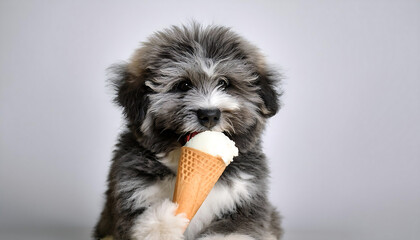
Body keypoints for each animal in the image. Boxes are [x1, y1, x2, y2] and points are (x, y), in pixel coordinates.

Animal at [94, 23, 284, 240]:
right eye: (183, 85)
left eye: (224, 83)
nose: (209, 115)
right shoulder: (131, 192)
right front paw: (166, 221)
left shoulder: (245, 199)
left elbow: (232, 231)